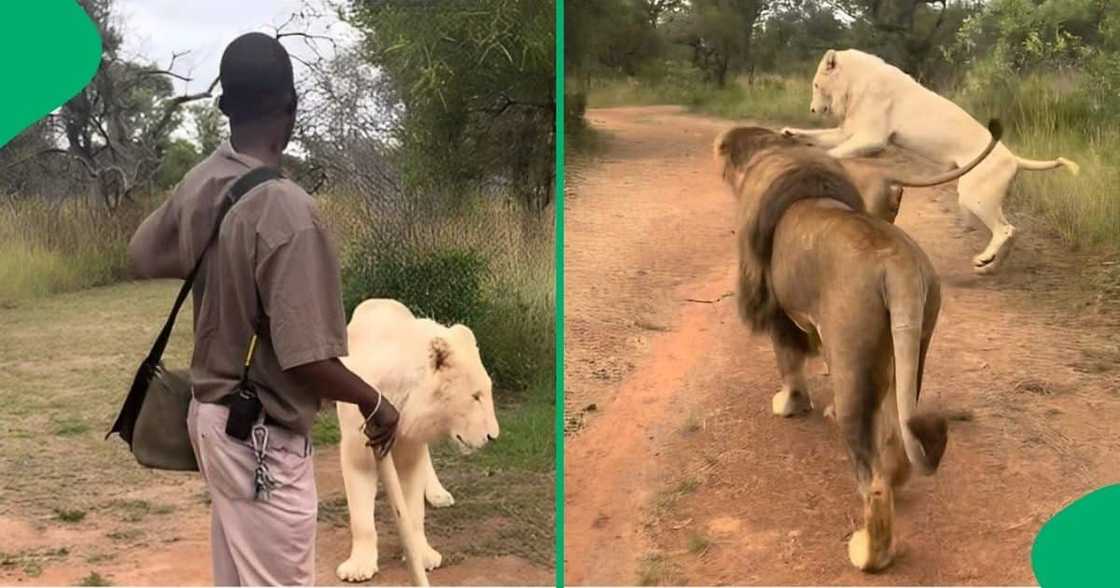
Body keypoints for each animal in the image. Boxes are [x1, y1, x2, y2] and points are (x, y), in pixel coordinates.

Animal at [334, 299, 500, 582]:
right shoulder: (358, 451)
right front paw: (359, 567)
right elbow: (361, 518)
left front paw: (421, 557)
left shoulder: (413, 446)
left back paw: (438, 494)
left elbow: (413, 510)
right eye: (475, 396)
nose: (493, 436)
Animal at [714, 129, 949, 571]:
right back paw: (894, 474)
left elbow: (788, 362)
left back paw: (868, 554)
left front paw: (789, 404)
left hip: (851, 353)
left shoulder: (779, 311)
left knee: (873, 484)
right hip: (912, 344)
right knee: (897, 433)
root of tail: (897, 266)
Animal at [781, 48, 1079, 273]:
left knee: (1006, 230)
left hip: (975, 196)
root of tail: (1014, 158)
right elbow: (818, 137)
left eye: (816, 84)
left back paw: (985, 260)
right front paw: (790, 132)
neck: (855, 82)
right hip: (979, 200)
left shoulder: (871, 137)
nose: (812, 109)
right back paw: (988, 266)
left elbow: (833, 152)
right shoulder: (850, 131)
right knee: (1010, 232)